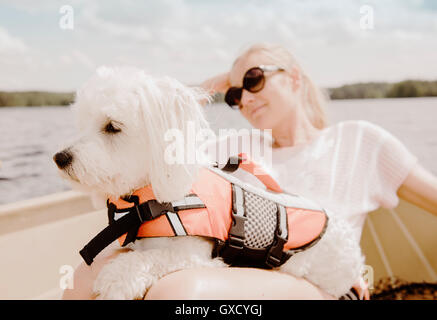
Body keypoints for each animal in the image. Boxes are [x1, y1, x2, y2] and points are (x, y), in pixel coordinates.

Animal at [56, 66, 366, 298]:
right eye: (81, 123)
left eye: (112, 127)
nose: (60, 157)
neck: (150, 196)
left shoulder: (192, 255)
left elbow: (146, 260)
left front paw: (116, 277)